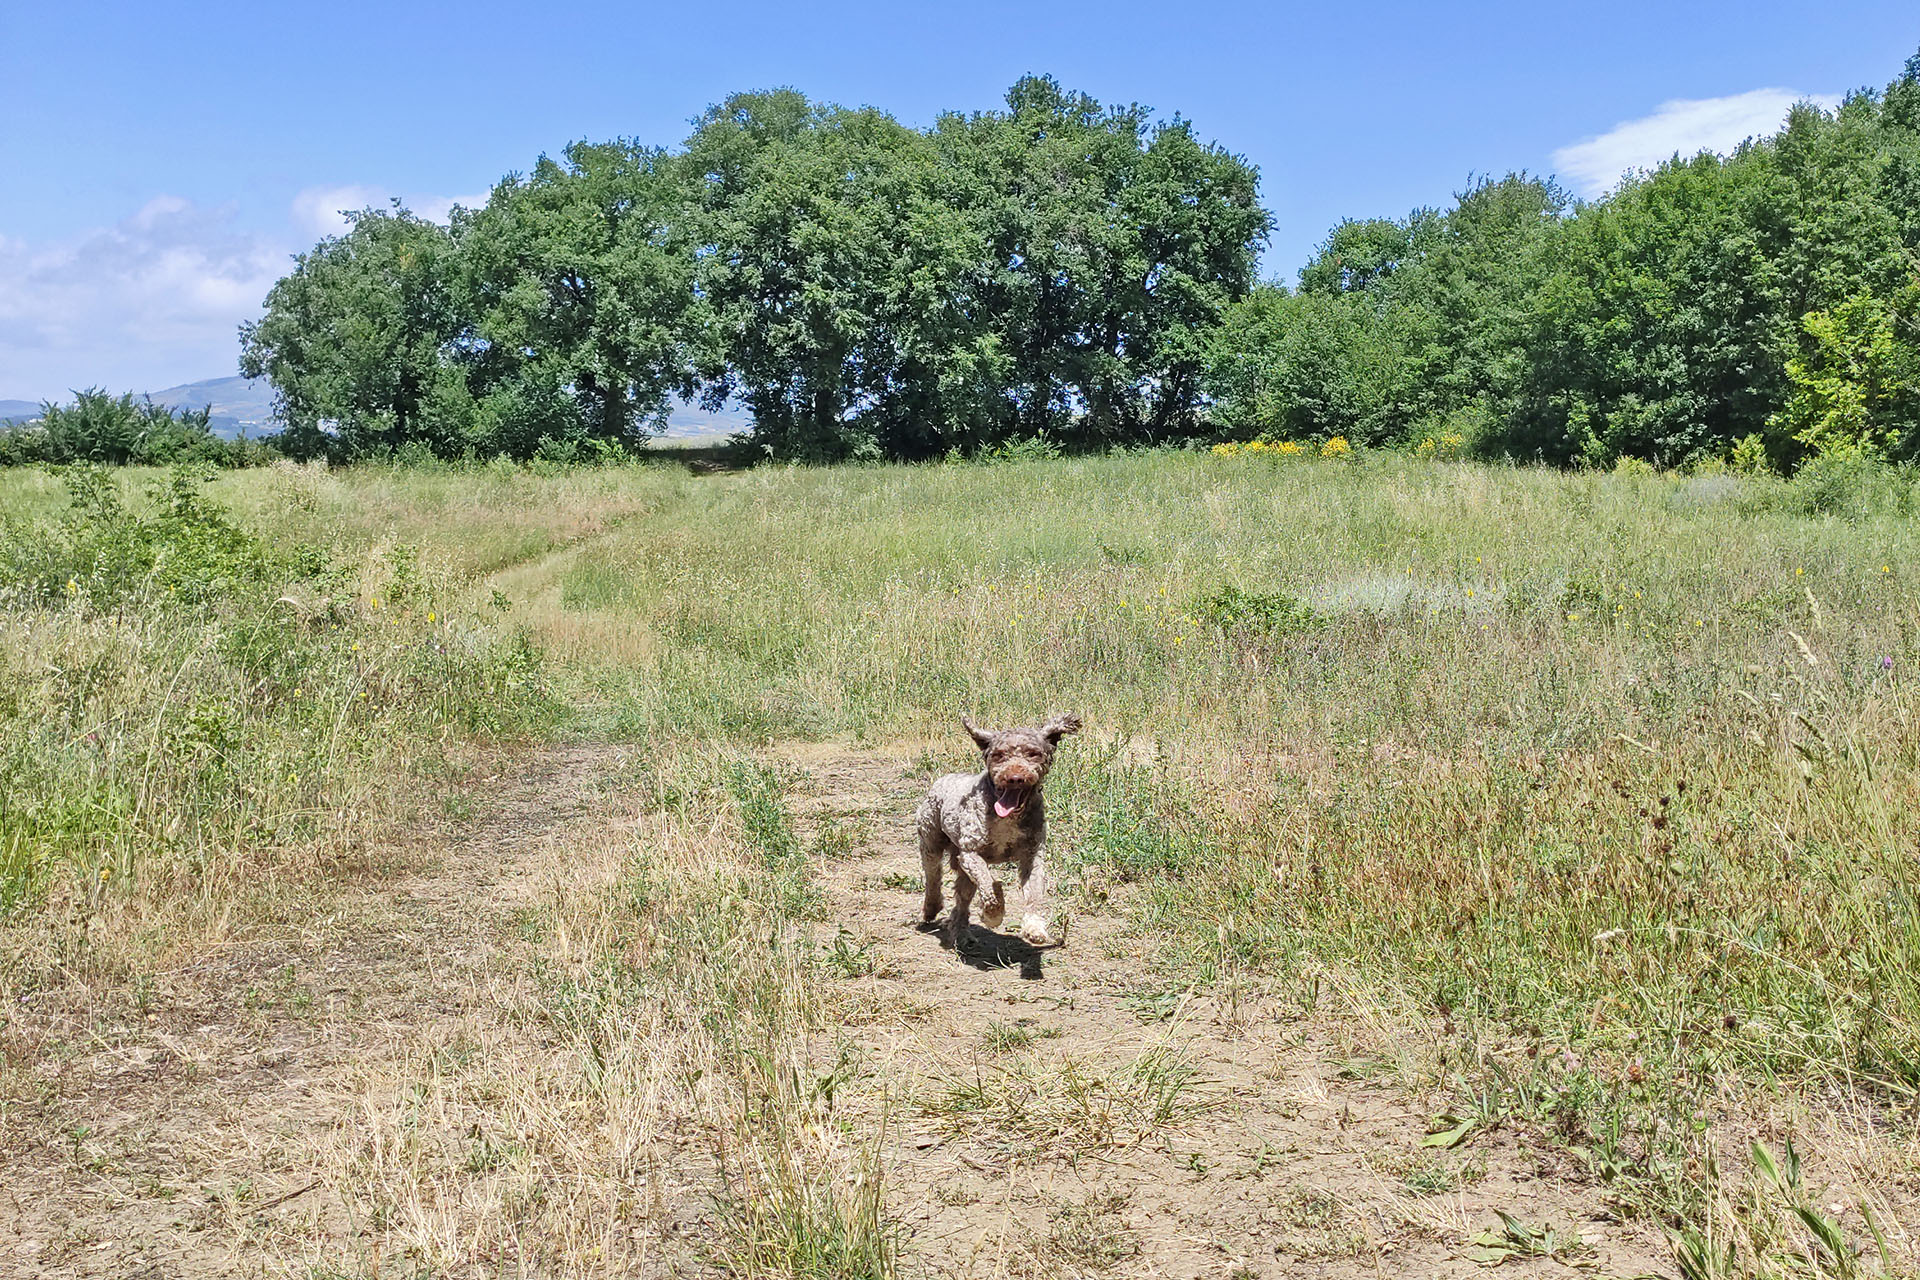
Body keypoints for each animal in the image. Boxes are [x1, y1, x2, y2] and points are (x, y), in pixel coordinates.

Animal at [913, 717, 1082, 948]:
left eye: (1033, 753)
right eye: (999, 755)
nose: (1015, 777)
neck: (1006, 817)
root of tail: (941, 780)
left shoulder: (1032, 855)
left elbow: (1033, 893)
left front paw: (1034, 928)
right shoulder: (971, 852)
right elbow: (987, 883)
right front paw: (994, 913)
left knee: (961, 899)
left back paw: (962, 933)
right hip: (931, 840)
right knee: (933, 877)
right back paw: (930, 910)